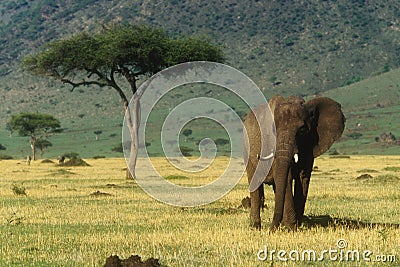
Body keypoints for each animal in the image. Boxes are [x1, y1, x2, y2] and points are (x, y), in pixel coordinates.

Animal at [242, 95, 346, 231]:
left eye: (302, 130)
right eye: (273, 131)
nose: (271, 229)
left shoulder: (309, 146)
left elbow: (303, 178)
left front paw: (295, 225)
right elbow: (287, 177)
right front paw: (290, 227)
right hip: (247, 150)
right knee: (255, 184)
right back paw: (255, 226)